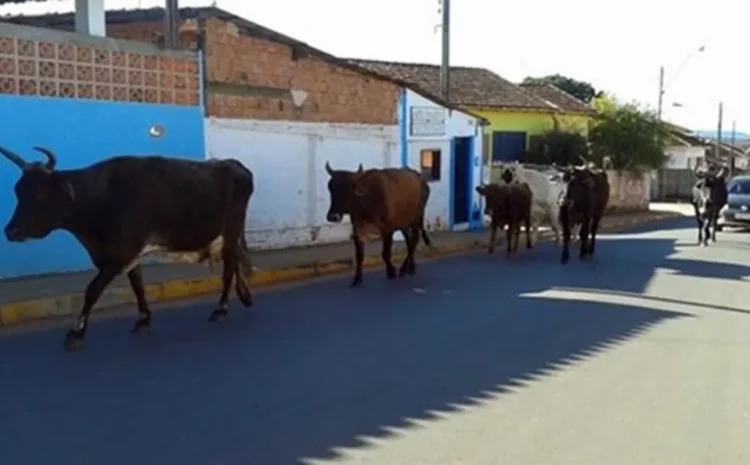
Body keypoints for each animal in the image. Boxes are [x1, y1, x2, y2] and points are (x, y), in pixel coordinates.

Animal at [0, 147, 256, 350]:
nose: (12, 231)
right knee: (234, 262)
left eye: (41, 193)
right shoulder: (129, 255)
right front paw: (143, 320)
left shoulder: (118, 256)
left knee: (228, 269)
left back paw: (221, 309)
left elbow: (92, 291)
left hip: (231, 230)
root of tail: (232, 164)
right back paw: (243, 297)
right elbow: (137, 286)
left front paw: (76, 332)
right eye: (18, 192)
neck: (99, 198)